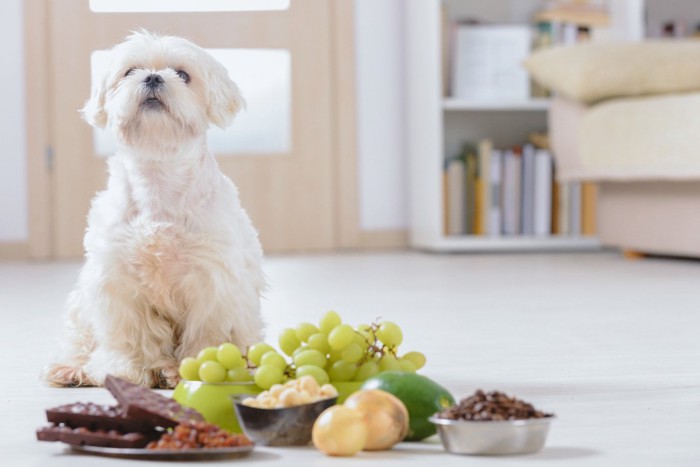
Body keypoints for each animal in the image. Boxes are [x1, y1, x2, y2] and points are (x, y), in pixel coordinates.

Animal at [43, 33, 266, 390]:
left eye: (183, 74)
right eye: (130, 71)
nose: (152, 77)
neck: (159, 178)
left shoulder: (212, 280)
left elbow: (206, 332)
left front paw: (195, 368)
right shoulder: (118, 278)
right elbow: (129, 334)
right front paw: (124, 368)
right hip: (81, 305)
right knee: (79, 337)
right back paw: (72, 368)